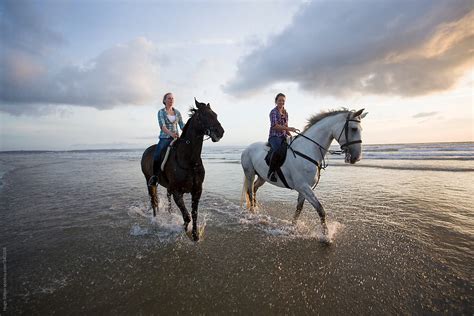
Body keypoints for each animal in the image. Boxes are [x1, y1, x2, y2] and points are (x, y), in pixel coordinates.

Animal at [141, 100, 224, 241]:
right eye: (203, 115)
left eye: (215, 114)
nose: (220, 132)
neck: (189, 160)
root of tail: (146, 151)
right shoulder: (177, 192)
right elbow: (187, 216)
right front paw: (184, 230)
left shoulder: (197, 191)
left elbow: (194, 214)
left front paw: (195, 235)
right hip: (149, 181)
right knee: (153, 201)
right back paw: (155, 219)